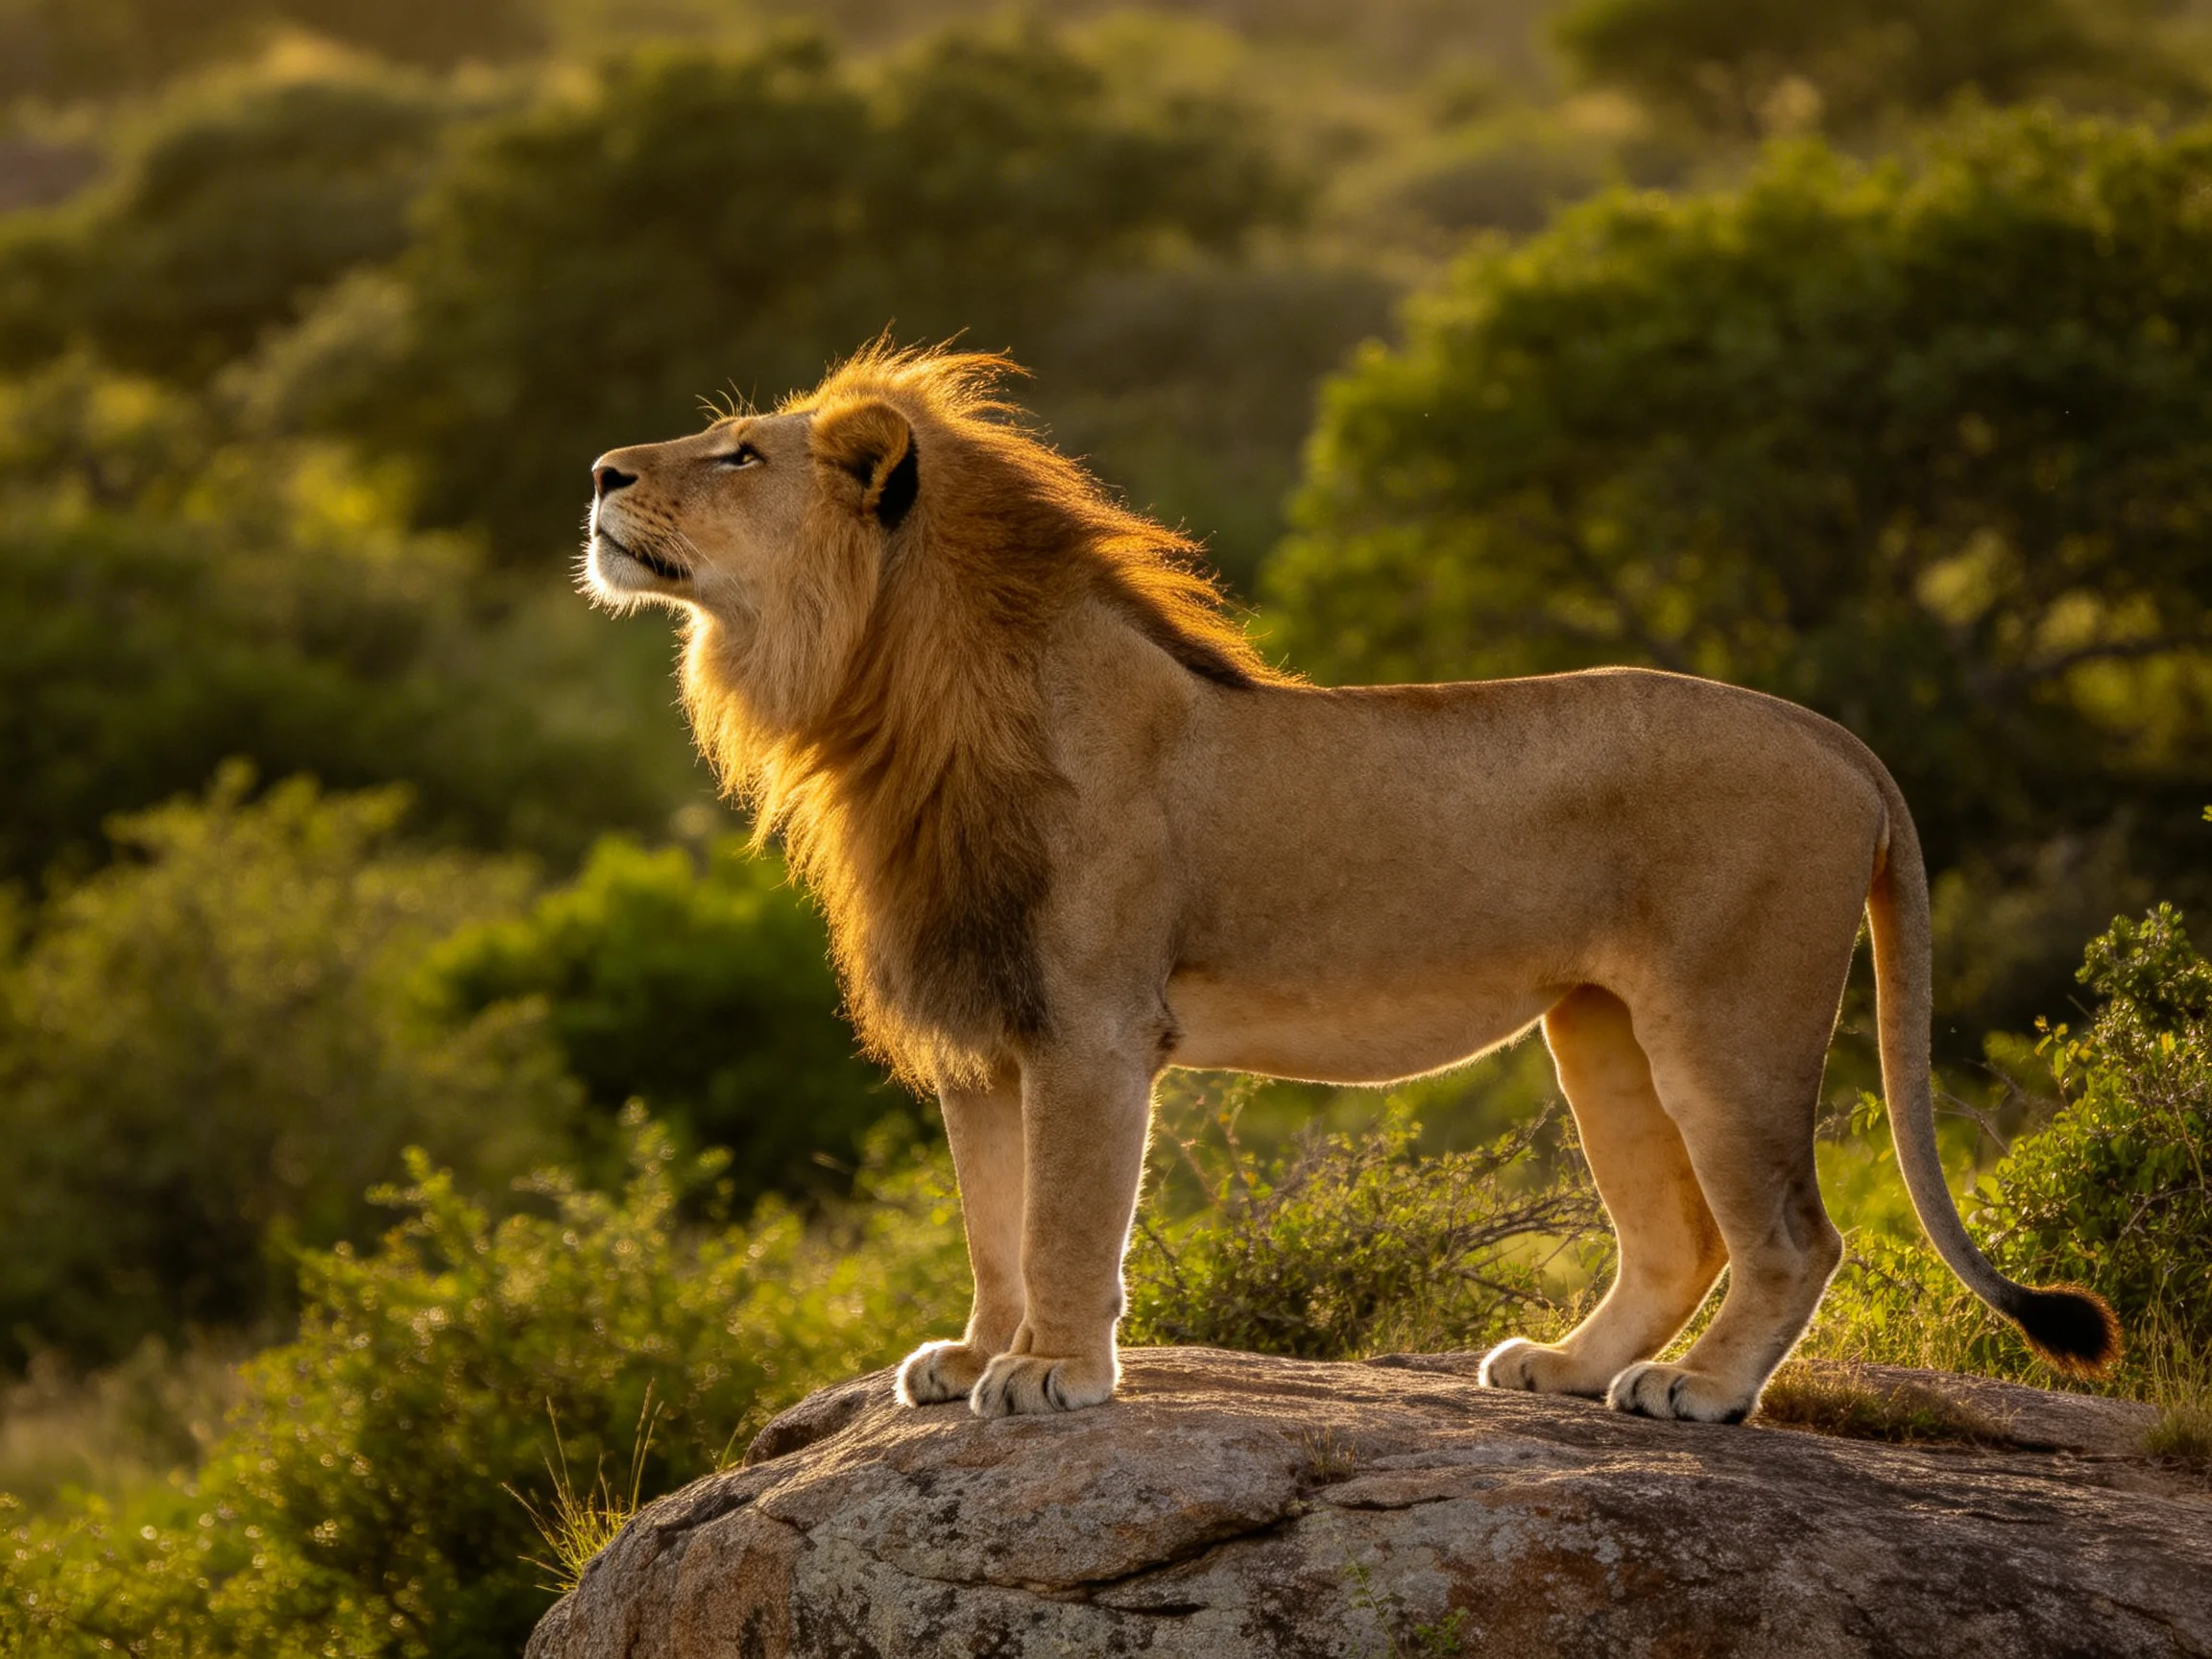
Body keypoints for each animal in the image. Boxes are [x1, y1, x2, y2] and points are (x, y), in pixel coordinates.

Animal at [581, 343, 2118, 1423]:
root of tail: (1842, 741)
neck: (892, 709)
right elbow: (992, 1219)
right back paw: (1568, 1367)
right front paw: (973, 1353)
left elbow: (1066, 1217)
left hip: (1731, 1019)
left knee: (1795, 1232)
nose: (598, 472)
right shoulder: (984, 1029)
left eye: (736, 453)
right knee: (1677, 1235)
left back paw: (1701, 1392)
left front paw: (1053, 1371)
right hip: (1600, 1027)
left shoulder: (1091, 1025)